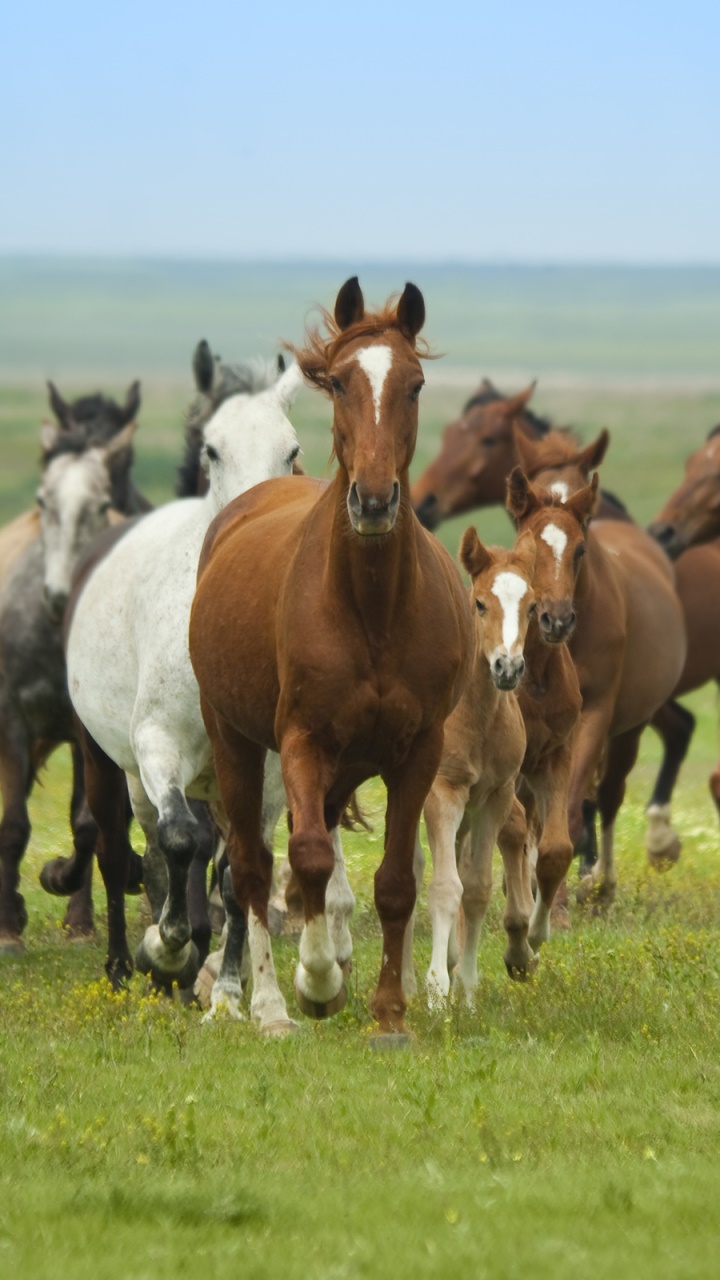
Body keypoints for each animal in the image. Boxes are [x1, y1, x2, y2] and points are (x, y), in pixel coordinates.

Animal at [0, 423, 139, 952]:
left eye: (100, 505)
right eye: (44, 500)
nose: (59, 596)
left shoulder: (86, 734)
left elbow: (86, 826)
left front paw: (68, 897)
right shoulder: (12, 723)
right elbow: (14, 826)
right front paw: (8, 928)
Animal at [46, 359, 313, 997]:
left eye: (291, 450)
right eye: (211, 450)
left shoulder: (263, 775)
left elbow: (238, 870)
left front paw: (228, 987)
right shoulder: (158, 744)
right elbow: (177, 841)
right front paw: (164, 951)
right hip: (106, 758)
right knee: (118, 844)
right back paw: (124, 963)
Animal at [189, 277, 473, 1039]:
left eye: (416, 383)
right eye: (341, 381)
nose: (372, 501)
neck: (370, 609)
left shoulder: (417, 749)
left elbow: (396, 883)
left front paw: (389, 1008)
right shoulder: (301, 740)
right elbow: (308, 857)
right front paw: (316, 982)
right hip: (234, 740)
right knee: (254, 869)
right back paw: (268, 1005)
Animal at [507, 463, 687, 902]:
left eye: (579, 550)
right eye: (527, 549)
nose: (556, 619)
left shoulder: (594, 715)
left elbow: (569, 812)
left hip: (630, 729)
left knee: (608, 795)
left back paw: (601, 883)